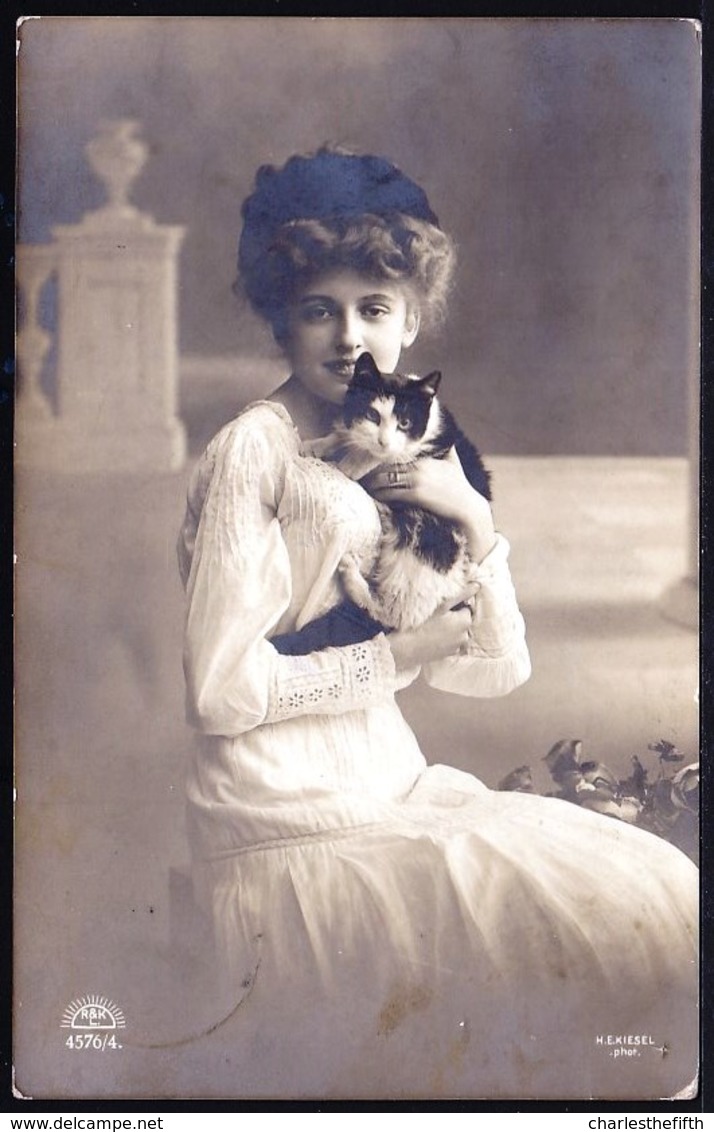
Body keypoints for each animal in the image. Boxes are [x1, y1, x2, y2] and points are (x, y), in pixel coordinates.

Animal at [272, 350, 491, 656]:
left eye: (405, 423)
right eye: (372, 415)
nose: (384, 441)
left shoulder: (432, 445)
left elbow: (385, 455)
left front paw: (350, 465)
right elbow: (347, 435)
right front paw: (320, 444)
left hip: (427, 550)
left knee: (390, 615)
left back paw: (353, 573)